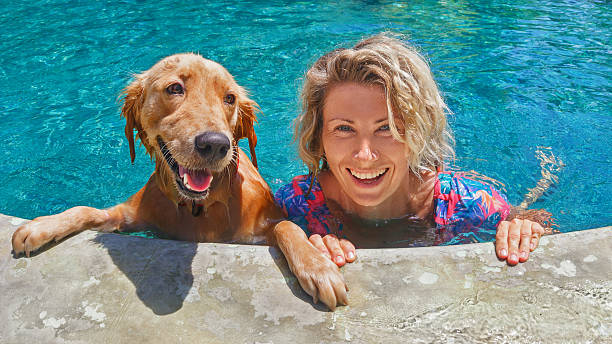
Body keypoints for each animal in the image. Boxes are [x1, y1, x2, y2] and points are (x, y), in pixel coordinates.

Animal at [11, 53, 284, 255]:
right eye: (175, 88)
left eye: (230, 98)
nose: (215, 144)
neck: (198, 207)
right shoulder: (125, 215)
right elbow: (85, 209)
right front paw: (43, 226)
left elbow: (283, 229)